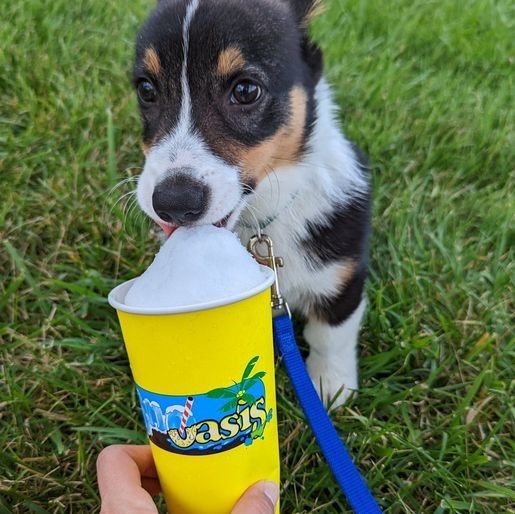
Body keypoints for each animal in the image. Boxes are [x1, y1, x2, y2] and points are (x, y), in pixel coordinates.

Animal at [133, 0, 370, 408]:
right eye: (146, 89)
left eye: (245, 90)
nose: (172, 204)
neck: (260, 221)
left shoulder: (343, 274)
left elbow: (331, 334)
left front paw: (330, 388)